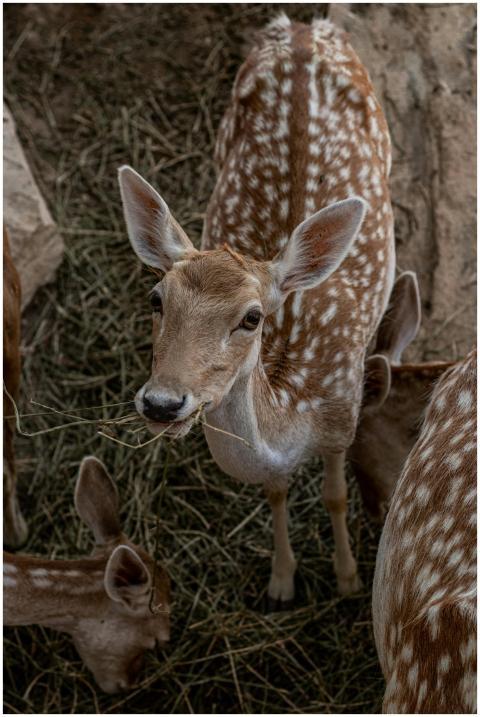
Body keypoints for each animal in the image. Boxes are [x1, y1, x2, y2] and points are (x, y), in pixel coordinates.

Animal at [118, 14, 395, 605]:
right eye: (156, 299)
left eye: (252, 317)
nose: (162, 403)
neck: (297, 411)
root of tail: (303, 27)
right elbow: (274, 493)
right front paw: (281, 582)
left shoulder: (344, 418)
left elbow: (336, 495)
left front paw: (346, 578)